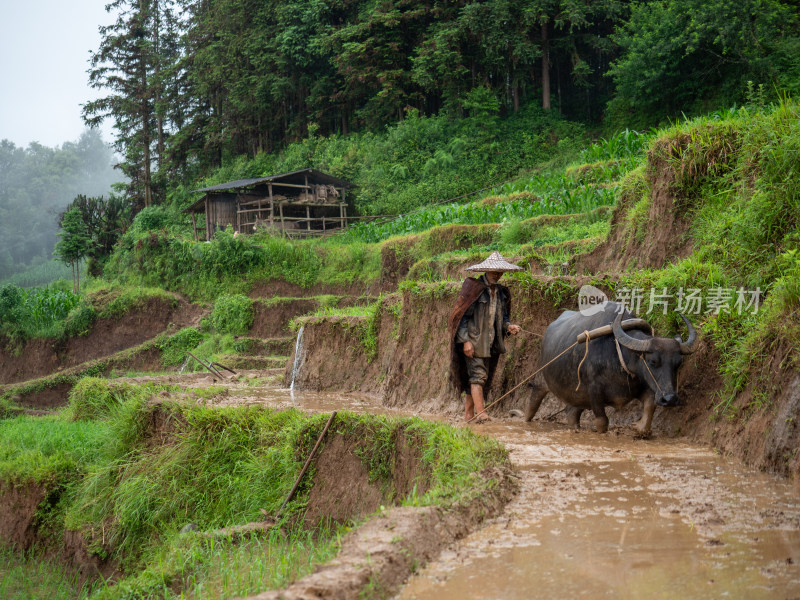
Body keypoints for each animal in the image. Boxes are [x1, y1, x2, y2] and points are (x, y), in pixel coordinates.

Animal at [512, 302, 692, 434]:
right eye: (653, 361)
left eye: (678, 363)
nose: (670, 399)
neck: (617, 354)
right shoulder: (594, 392)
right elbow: (602, 421)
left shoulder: (643, 385)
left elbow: (649, 408)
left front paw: (639, 427)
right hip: (541, 381)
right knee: (532, 405)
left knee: (571, 413)